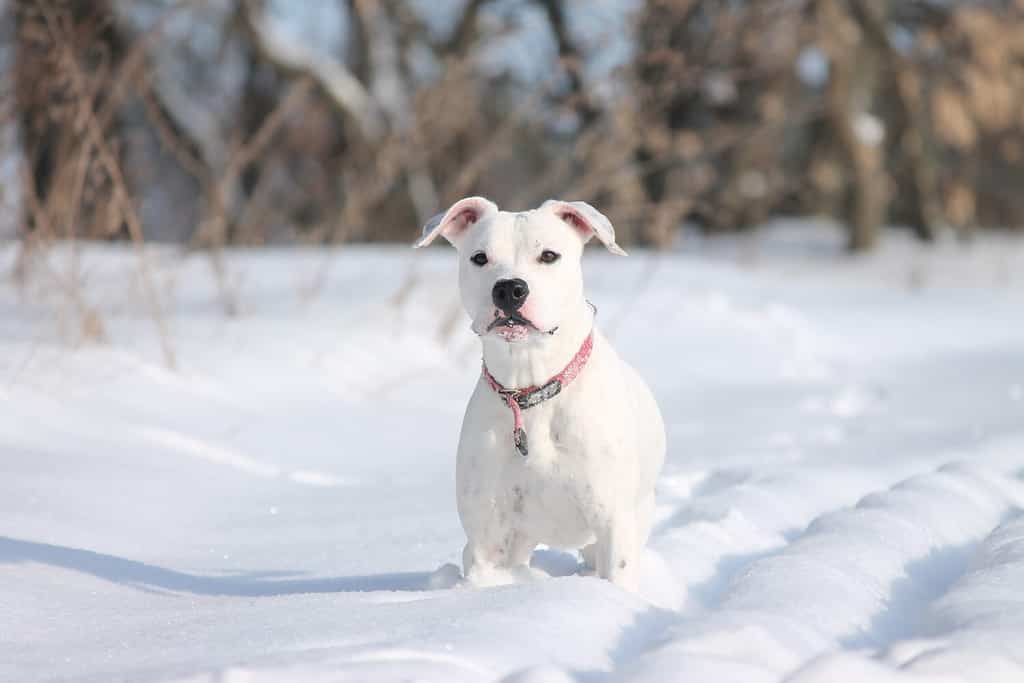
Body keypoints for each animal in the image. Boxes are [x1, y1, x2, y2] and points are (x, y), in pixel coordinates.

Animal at [415, 197, 663, 593]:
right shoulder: (487, 536)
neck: (531, 385)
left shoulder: (613, 522)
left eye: (549, 255)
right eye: (480, 257)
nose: (509, 289)